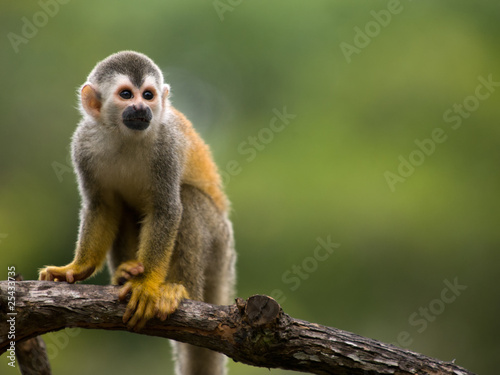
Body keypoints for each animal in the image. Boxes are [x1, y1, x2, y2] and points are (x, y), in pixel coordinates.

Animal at [39, 52, 236, 375]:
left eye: (148, 95)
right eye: (126, 95)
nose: (142, 108)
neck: (125, 136)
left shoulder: (167, 145)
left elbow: (166, 208)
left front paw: (146, 285)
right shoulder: (82, 144)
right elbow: (102, 206)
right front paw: (77, 268)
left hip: (220, 246)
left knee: (188, 199)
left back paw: (179, 290)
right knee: (123, 207)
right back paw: (125, 272)